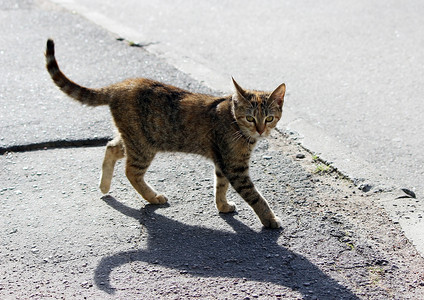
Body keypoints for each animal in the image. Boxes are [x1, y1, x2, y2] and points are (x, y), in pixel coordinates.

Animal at [45, 39, 284, 227]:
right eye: (250, 118)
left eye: (269, 118)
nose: (261, 130)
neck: (235, 123)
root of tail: (122, 85)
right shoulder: (234, 166)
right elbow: (255, 196)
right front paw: (270, 219)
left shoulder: (222, 161)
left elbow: (220, 186)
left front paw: (222, 205)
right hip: (142, 146)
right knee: (131, 171)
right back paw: (152, 197)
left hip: (134, 140)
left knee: (111, 147)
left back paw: (104, 185)